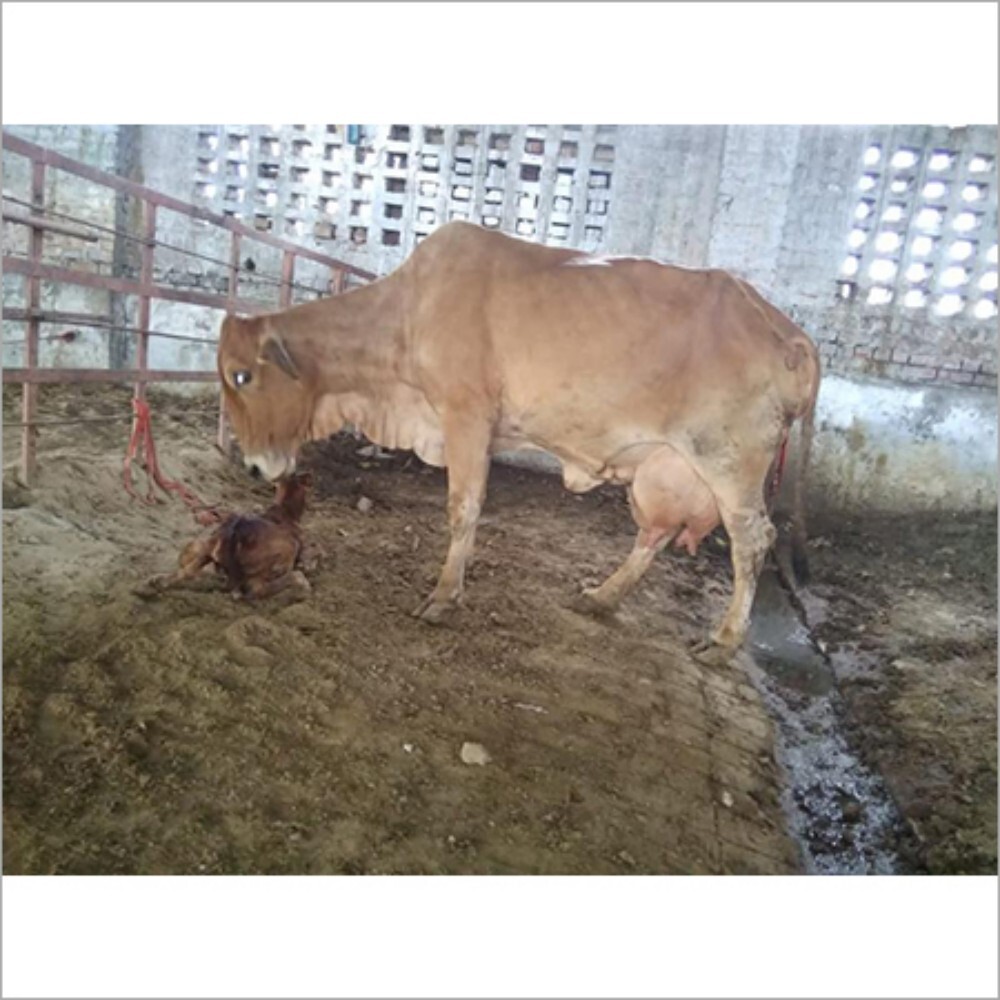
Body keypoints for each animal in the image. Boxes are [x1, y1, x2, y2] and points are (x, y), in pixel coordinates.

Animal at [141, 472, 313, 601]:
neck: (286, 512)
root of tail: (233, 535)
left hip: (206, 547)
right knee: (260, 589)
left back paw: (155, 581)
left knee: (185, 572)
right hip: (275, 561)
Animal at [218, 222, 819, 658]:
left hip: (729, 464)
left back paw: (723, 640)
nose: (253, 467)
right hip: (666, 470)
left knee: (752, 541)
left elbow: (464, 508)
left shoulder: (466, 416)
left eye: (241, 376)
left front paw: (443, 597)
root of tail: (788, 331)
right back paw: (602, 598)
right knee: (656, 534)